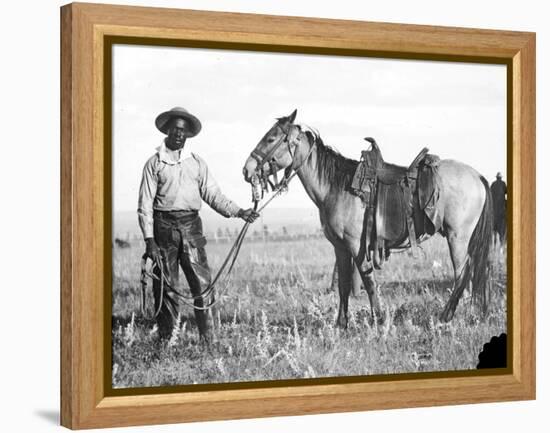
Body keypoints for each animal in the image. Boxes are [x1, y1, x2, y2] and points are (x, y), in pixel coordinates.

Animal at [244, 109, 494, 326]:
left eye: (271, 138)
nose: (247, 170)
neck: (335, 187)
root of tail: (478, 176)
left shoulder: (356, 245)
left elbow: (369, 281)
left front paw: (378, 320)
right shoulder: (340, 247)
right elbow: (344, 284)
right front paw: (341, 325)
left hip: (457, 237)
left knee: (462, 273)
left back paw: (445, 316)